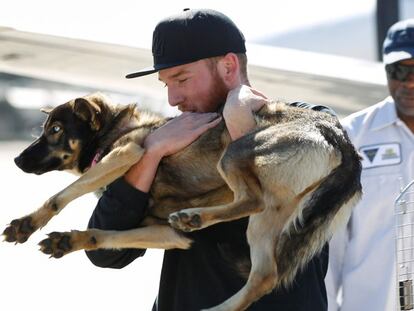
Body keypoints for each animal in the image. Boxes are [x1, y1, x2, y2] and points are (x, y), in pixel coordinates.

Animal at [3, 93, 360, 311]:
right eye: (45, 129)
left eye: (56, 130)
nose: (17, 159)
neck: (114, 130)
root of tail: (341, 141)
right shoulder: (167, 233)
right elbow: (105, 236)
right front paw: (68, 240)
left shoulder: (126, 153)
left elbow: (60, 195)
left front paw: (26, 224)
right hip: (275, 217)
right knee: (264, 276)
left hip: (236, 155)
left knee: (252, 201)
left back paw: (196, 217)